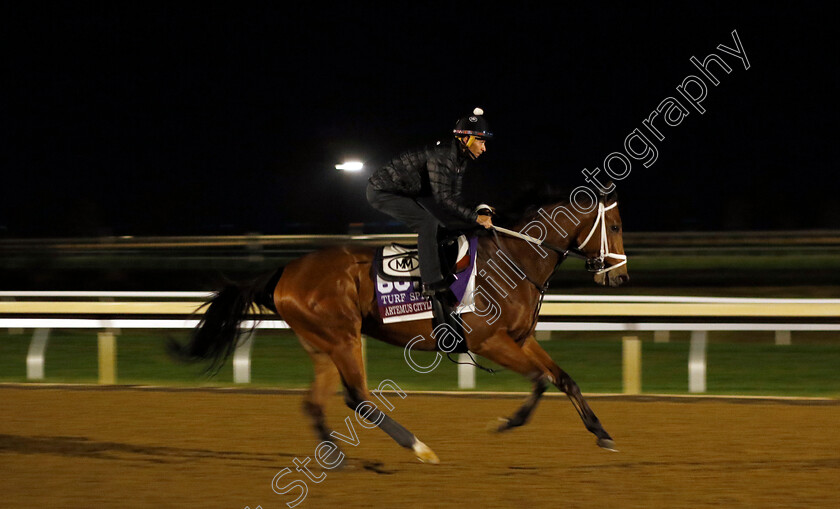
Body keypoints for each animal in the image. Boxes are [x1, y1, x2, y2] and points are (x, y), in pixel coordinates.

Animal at [172, 189, 632, 462]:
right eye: (614, 226)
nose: (621, 277)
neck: (515, 261)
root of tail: (285, 271)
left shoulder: (521, 338)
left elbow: (564, 379)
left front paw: (603, 433)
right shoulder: (488, 342)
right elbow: (538, 381)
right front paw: (505, 423)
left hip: (322, 343)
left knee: (315, 402)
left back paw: (336, 457)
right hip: (342, 337)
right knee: (357, 397)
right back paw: (419, 447)